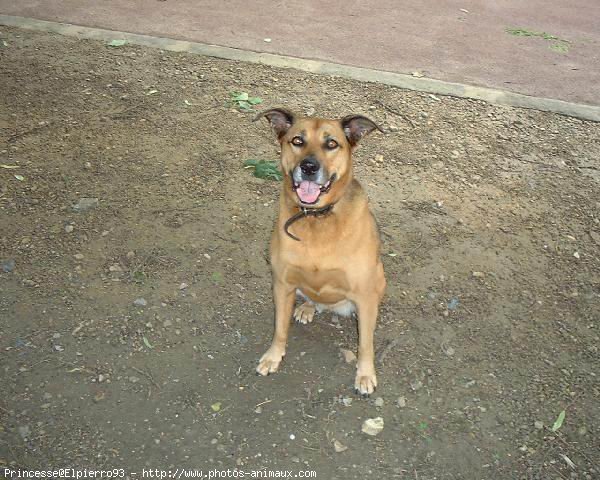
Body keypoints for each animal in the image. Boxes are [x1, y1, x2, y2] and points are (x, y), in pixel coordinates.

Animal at [252, 109, 384, 398]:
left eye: (332, 143)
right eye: (297, 141)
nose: (309, 168)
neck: (316, 217)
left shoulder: (364, 294)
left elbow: (366, 343)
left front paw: (365, 374)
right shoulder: (282, 284)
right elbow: (280, 328)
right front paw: (273, 356)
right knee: (311, 298)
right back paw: (307, 308)